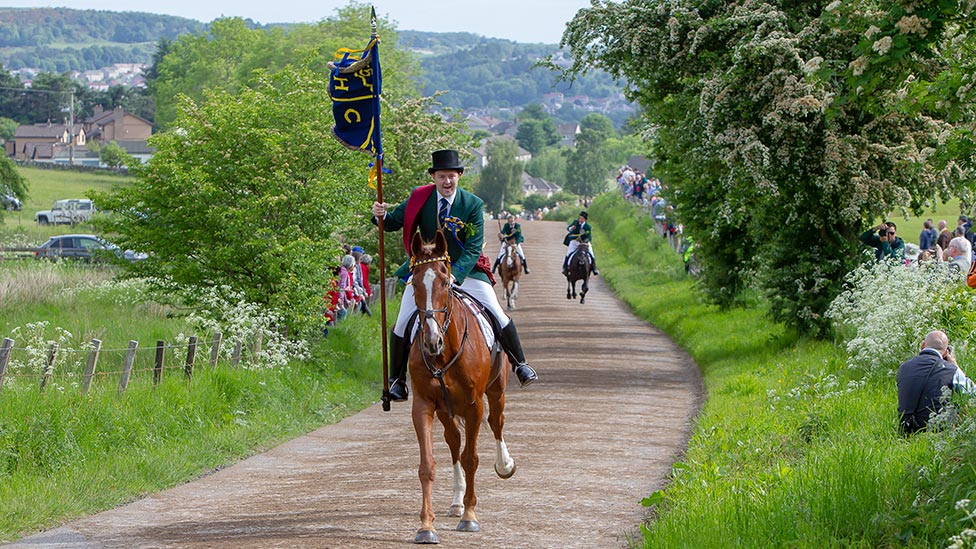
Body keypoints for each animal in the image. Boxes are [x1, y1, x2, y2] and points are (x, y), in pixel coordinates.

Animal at [406, 228, 516, 544]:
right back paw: (455, 502)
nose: (432, 341)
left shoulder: (473, 405)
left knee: (496, 424)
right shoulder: (423, 406)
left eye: (445, 281)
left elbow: (471, 458)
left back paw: (504, 465)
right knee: (454, 441)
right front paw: (426, 526)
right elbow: (428, 465)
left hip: (496, 392)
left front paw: (470, 517)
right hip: (446, 410)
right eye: (414, 282)